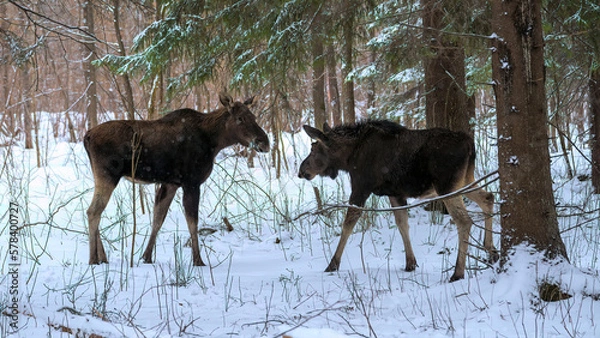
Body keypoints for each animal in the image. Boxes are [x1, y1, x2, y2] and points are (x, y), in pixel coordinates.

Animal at [84, 92, 270, 266]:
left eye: (254, 117)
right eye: (240, 118)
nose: (265, 142)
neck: (214, 142)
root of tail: (87, 136)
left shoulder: (171, 183)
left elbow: (158, 218)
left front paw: (147, 257)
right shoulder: (191, 182)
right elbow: (192, 222)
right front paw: (198, 260)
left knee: (95, 210)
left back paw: (102, 258)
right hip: (107, 175)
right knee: (93, 211)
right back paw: (93, 259)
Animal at [298, 120, 496, 282]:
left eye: (313, 149)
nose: (301, 171)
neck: (347, 158)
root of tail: (470, 145)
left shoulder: (361, 187)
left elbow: (348, 224)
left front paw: (333, 264)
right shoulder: (395, 194)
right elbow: (402, 224)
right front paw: (410, 263)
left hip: (447, 186)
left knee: (464, 220)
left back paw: (458, 272)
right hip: (466, 180)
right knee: (488, 198)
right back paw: (491, 250)